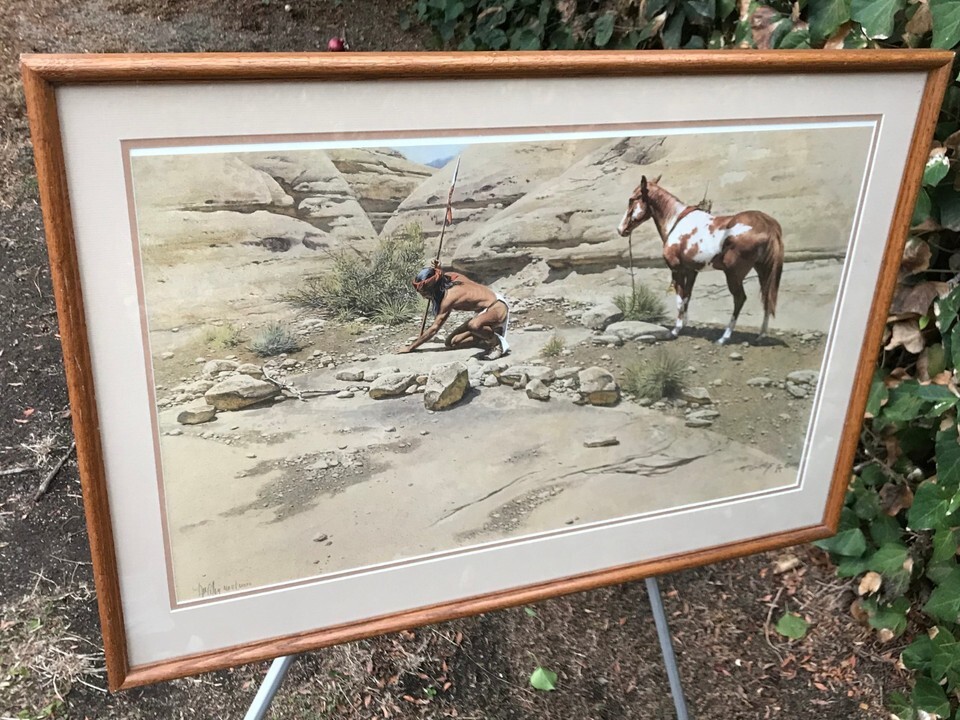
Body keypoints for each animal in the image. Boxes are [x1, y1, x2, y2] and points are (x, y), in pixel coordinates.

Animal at [617, 175, 784, 345]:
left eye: (631, 199)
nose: (620, 229)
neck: (677, 222)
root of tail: (769, 225)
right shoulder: (692, 271)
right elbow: (686, 297)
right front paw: (684, 323)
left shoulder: (677, 270)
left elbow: (679, 299)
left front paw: (675, 330)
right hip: (763, 270)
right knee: (767, 297)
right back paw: (761, 335)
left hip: (733, 275)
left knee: (740, 299)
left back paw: (724, 338)